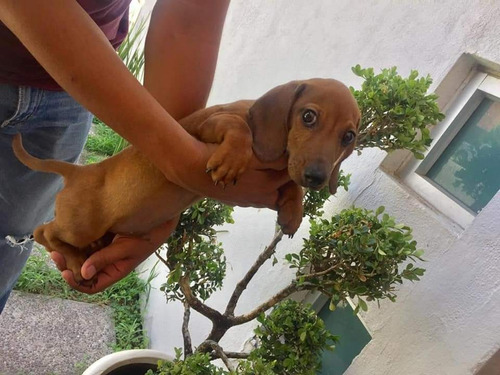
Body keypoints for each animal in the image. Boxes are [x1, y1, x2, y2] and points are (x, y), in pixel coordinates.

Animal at [12, 79, 360, 284]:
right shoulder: (208, 125)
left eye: (348, 136)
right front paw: (233, 160)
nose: (316, 177)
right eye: (308, 116)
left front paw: (293, 209)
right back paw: (73, 259)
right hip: (80, 224)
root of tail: (81, 171)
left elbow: (290, 181)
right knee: (42, 232)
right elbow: (239, 129)